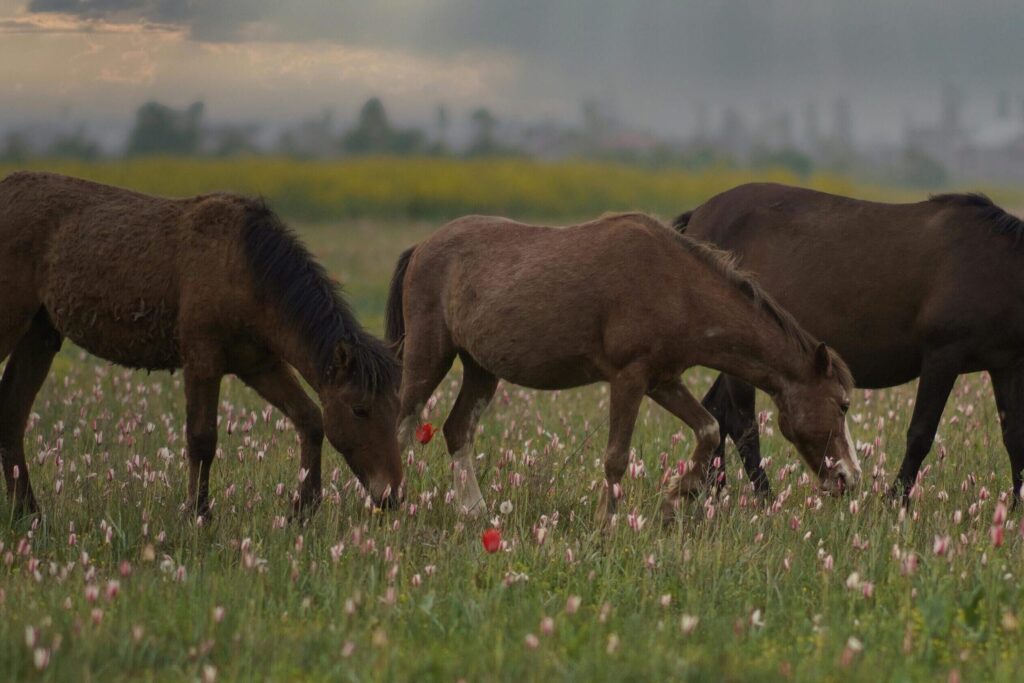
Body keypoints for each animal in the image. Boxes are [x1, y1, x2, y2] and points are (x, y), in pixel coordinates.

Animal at [0, 174, 403, 520]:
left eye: (395, 409)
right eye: (360, 410)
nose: (392, 495)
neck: (245, 269)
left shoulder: (259, 365)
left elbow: (310, 419)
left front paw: (303, 509)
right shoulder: (202, 360)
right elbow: (202, 439)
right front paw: (198, 515)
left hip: (40, 335)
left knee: (13, 414)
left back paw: (29, 513)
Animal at [387, 210, 860, 520]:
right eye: (842, 405)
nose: (850, 478)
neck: (678, 287)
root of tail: (422, 247)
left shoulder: (663, 380)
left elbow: (708, 430)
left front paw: (674, 499)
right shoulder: (629, 378)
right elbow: (616, 456)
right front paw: (606, 521)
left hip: (481, 369)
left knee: (458, 430)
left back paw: (473, 511)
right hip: (429, 355)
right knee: (403, 424)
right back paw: (390, 505)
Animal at [675, 184, 1024, 505]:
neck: (997, 268)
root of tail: (698, 216)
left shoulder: (1005, 366)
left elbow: (1013, 437)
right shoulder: (943, 355)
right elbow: (921, 434)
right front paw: (895, 501)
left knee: (716, 412)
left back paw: (713, 493)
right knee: (741, 422)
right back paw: (763, 498)